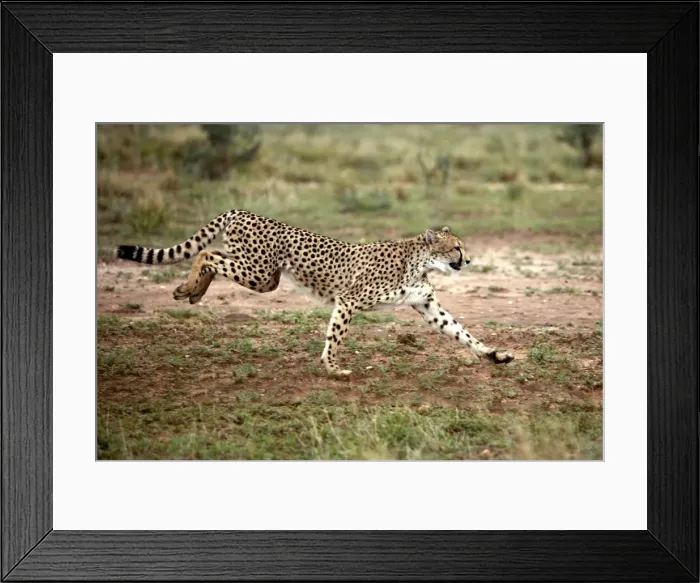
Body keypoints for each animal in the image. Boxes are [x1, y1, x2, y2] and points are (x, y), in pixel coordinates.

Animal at [115, 209, 515, 376]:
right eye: (456, 247)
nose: (468, 259)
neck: (420, 260)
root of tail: (241, 210)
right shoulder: (349, 300)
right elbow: (335, 336)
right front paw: (333, 368)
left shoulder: (428, 307)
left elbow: (462, 333)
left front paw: (494, 355)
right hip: (261, 274)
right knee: (206, 254)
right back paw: (189, 288)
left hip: (263, 275)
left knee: (212, 256)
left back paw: (194, 292)